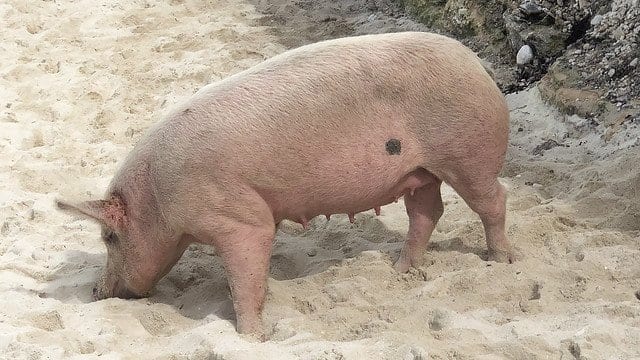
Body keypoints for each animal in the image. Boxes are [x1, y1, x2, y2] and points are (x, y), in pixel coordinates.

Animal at [56, 31, 516, 340]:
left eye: (109, 237)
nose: (96, 291)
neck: (158, 200)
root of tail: (477, 63)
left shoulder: (240, 218)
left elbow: (246, 278)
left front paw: (251, 338)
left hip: (468, 153)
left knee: (492, 200)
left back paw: (501, 261)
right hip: (421, 171)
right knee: (427, 210)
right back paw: (402, 272)